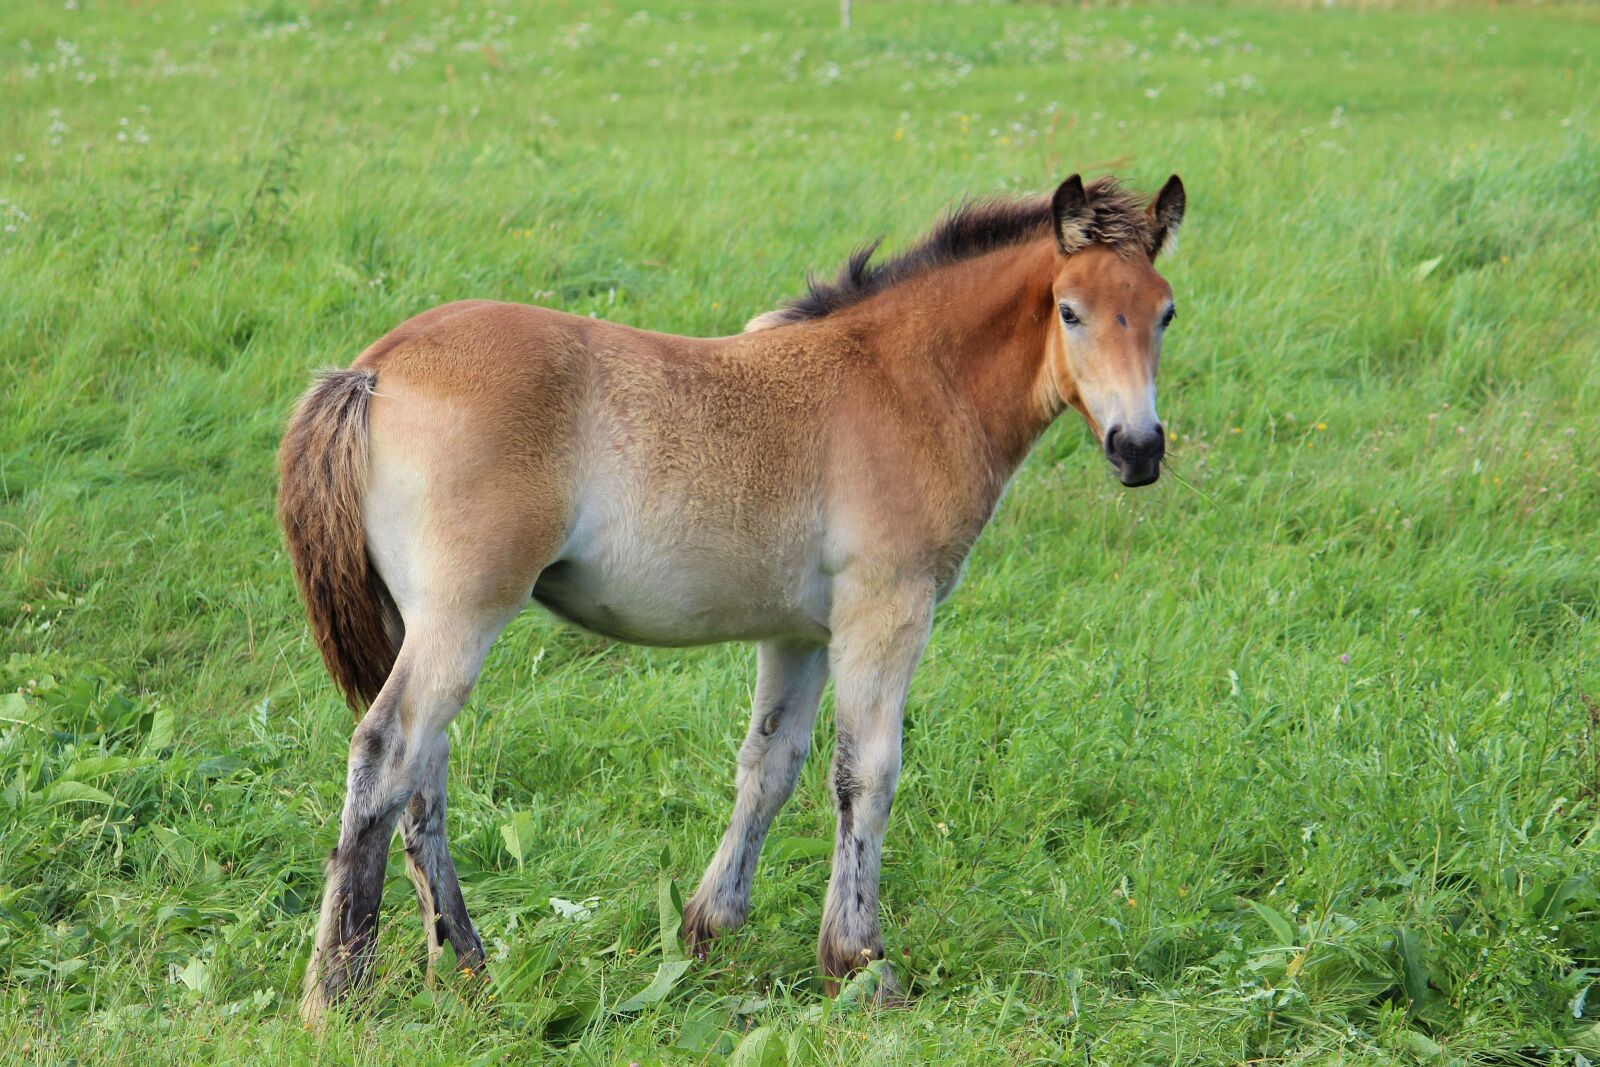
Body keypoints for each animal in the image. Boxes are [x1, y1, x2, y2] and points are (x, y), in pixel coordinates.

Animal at [278, 172, 1186, 1019]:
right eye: (1070, 311)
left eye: (1165, 313)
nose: (1138, 449)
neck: (904, 383)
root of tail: (374, 369)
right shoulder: (887, 609)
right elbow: (868, 772)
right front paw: (861, 962)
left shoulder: (801, 634)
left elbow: (770, 765)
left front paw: (709, 927)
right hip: (463, 614)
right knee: (388, 752)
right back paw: (338, 990)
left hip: (422, 620)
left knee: (423, 774)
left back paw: (463, 962)